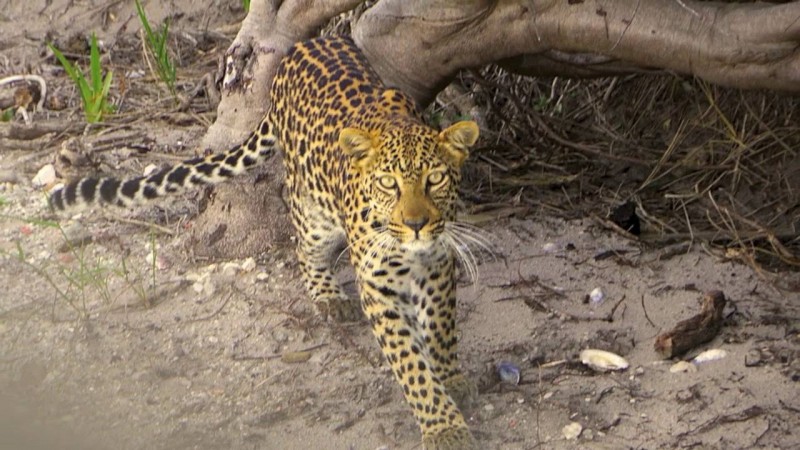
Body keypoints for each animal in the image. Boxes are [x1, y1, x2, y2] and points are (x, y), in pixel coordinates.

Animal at [53, 34, 484, 446]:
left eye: (435, 179)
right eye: (388, 184)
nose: (416, 223)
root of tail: (301, 47)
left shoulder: (438, 266)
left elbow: (441, 329)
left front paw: (452, 379)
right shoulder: (379, 286)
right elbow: (411, 364)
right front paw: (443, 426)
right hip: (312, 208)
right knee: (301, 238)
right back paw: (328, 294)